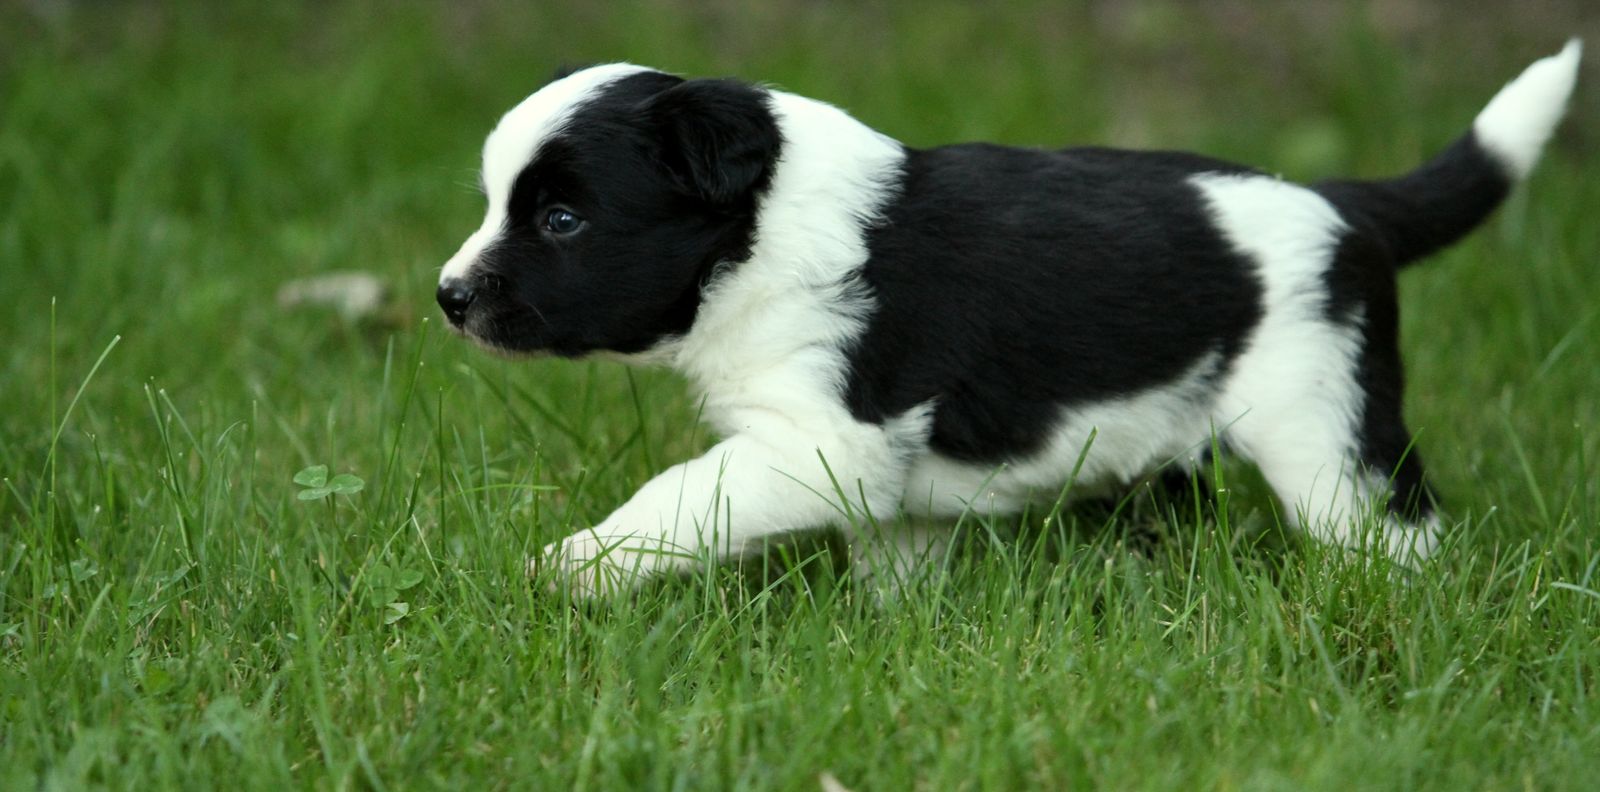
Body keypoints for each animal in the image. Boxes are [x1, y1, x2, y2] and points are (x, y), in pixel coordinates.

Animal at [437, 43, 1581, 597]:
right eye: (494, 201)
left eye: (562, 218)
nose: (448, 298)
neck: (755, 233)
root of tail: (1346, 205)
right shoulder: (882, 484)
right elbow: (895, 563)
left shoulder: (819, 442)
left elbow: (678, 496)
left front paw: (576, 569)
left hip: (1325, 429)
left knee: (1393, 529)